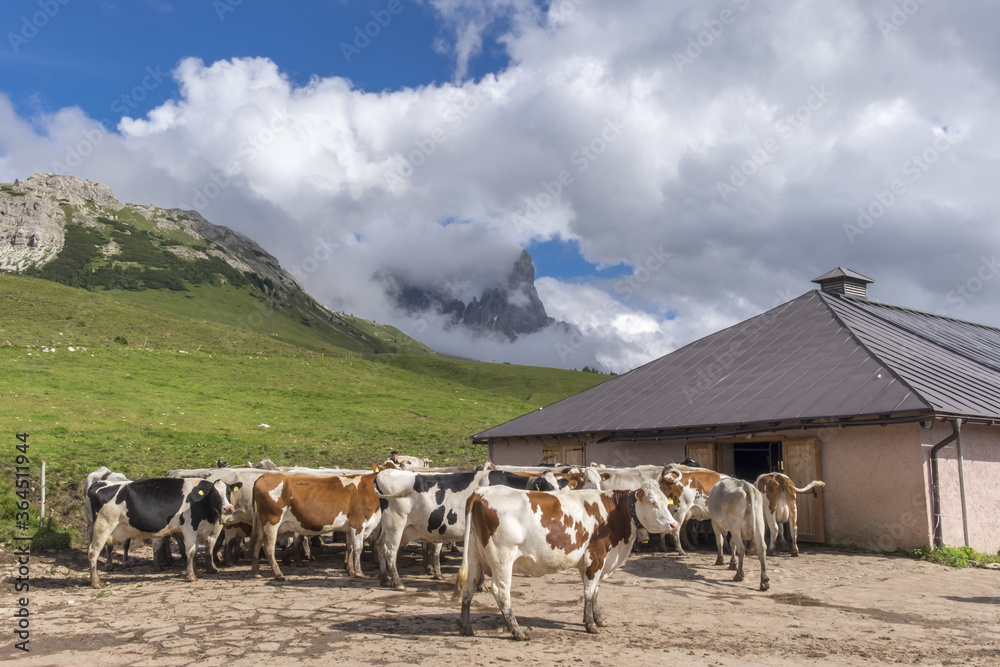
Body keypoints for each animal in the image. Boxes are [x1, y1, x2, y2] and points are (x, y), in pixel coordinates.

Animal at [87, 477, 243, 588]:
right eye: (215, 494)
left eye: (228, 492)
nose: (228, 508)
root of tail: (98, 486)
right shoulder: (189, 527)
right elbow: (191, 551)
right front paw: (191, 576)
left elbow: (195, 550)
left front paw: (195, 571)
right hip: (102, 527)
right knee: (93, 552)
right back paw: (95, 582)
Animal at [249, 468, 384, 581]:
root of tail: (265, 476)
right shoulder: (358, 523)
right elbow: (358, 548)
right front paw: (359, 573)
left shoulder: (349, 528)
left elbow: (350, 547)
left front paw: (350, 570)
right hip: (271, 521)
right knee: (268, 547)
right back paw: (278, 574)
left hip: (261, 524)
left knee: (256, 543)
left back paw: (256, 573)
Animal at [373, 468, 565, 589]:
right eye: (547, 487)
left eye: (558, 486)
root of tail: (383, 473)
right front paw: (482, 585)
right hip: (396, 522)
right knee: (390, 550)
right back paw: (398, 583)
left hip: (388, 525)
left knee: (379, 545)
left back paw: (384, 579)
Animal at [455, 478, 679, 640]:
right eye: (652, 502)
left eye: (664, 502)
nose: (674, 525)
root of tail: (481, 492)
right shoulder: (595, 559)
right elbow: (588, 593)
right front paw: (590, 625)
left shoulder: (600, 563)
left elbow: (595, 592)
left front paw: (599, 619)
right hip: (503, 559)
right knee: (501, 592)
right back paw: (517, 631)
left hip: (474, 557)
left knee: (469, 587)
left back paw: (466, 627)